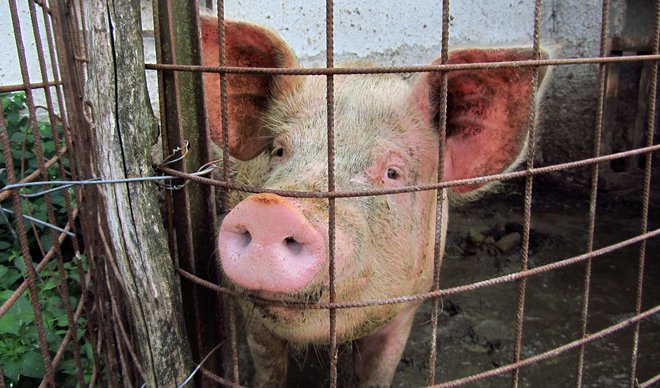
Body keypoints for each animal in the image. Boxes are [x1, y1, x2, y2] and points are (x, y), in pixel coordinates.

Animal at [199, 15, 548, 388]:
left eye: (392, 172)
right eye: (279, 150)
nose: (270, 211)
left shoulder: (405, 308)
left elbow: (377, 372)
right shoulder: (251, 314)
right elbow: (269, 370)